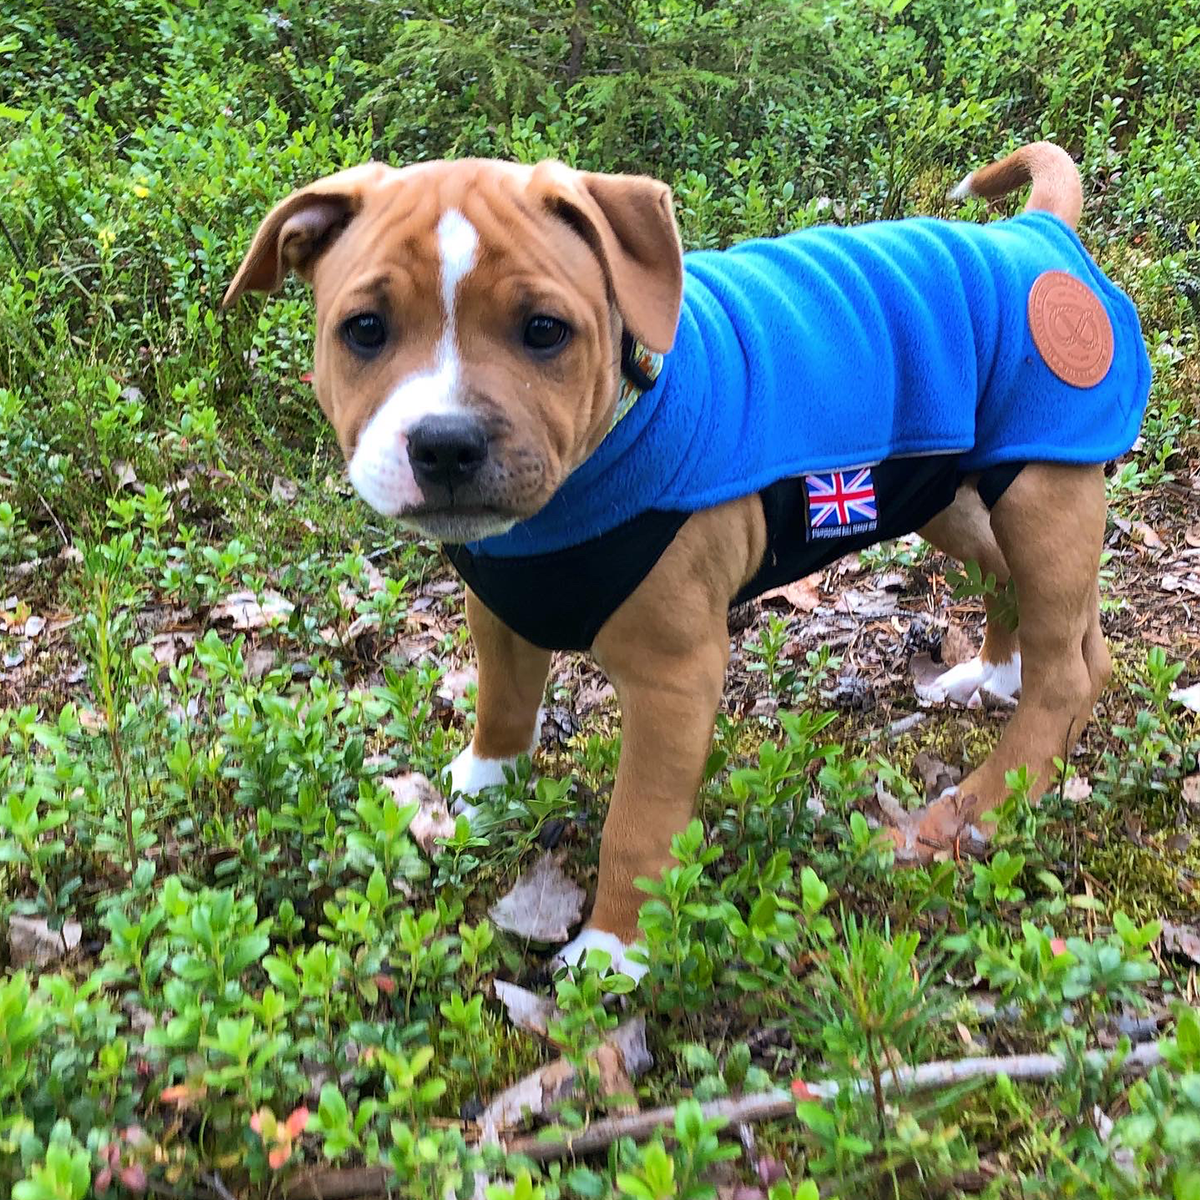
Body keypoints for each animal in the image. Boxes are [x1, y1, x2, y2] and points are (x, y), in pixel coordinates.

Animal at [225, 145, 1152, 979]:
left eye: (544, 331)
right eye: (364, 330)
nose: (446, 443)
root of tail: (1038, 234)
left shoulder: (673, 677)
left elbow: (637, 822)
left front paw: (613, 950)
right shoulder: (498, 607)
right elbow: (503, 702)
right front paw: (482, 785)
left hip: (1042, 492)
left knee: (1067, 666)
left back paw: (983, 801)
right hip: (951, 495)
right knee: (1043, 610)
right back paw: (994, 678)